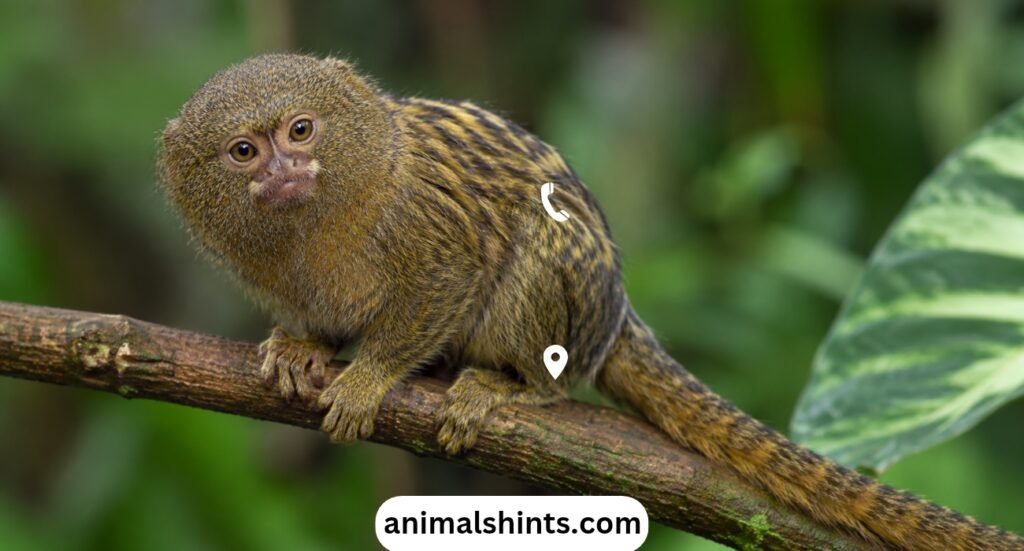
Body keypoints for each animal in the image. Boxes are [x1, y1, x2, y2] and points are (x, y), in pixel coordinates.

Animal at [158, 54, 1023, 550]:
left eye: (301, 130)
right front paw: (301, 347)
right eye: (244, 151)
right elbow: (313, 316)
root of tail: (618, 314)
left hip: (571, 304)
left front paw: (370, 376)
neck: (321, 216)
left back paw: (508, 387)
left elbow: (445, 282)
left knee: (544, 259)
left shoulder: (426, 228)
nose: (282, 172)